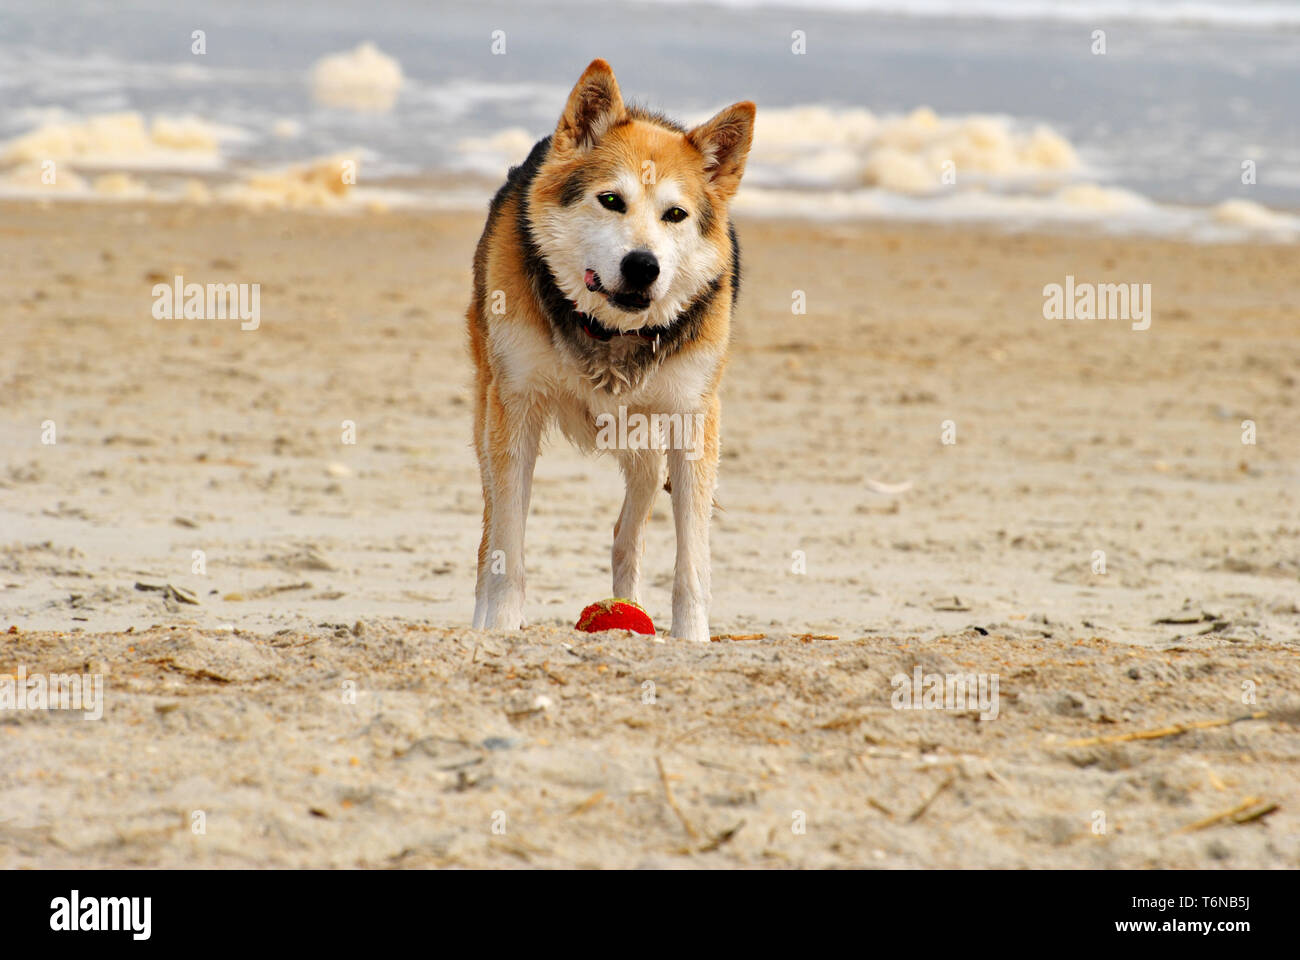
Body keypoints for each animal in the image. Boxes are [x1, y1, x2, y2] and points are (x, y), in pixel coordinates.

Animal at [467, 59, 759, 642]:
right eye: (610, 200)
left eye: (675, 214)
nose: (643, 265)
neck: (611, 333)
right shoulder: (517, 410)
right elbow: (508, 547)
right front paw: (504, 629)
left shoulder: (692, 420)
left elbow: (692, 559)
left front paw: (693, 638)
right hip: (489, 410)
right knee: (490, 536)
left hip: (645, 439)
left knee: (628, 532)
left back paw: (626, 607)